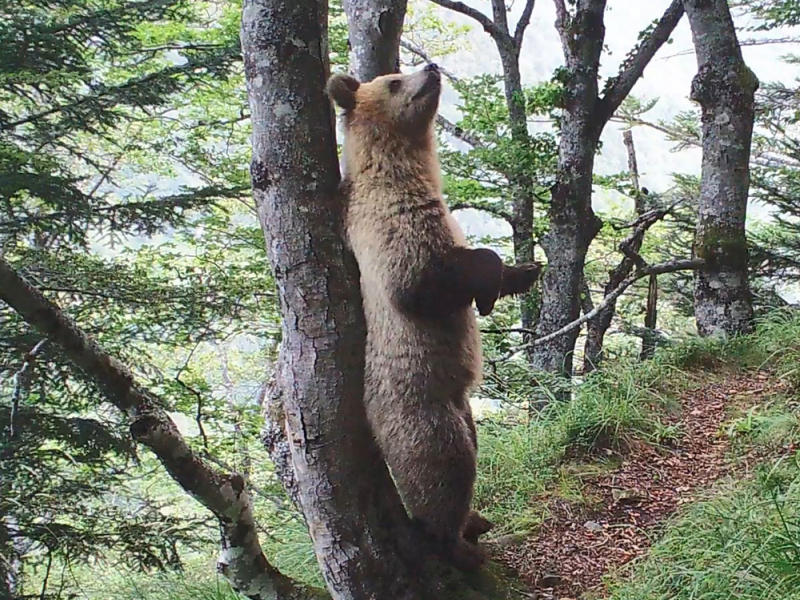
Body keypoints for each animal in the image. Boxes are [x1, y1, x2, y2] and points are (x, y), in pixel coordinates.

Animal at [328, 63, 540, 568]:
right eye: (393, 81)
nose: (430, 68)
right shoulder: (389, 228)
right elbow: (420, 284)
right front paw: (490, 285)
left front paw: (524, 271)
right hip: (420, 408)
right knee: (444, 468)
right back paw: (456, 540)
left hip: (462, 408)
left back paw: (476, 523)